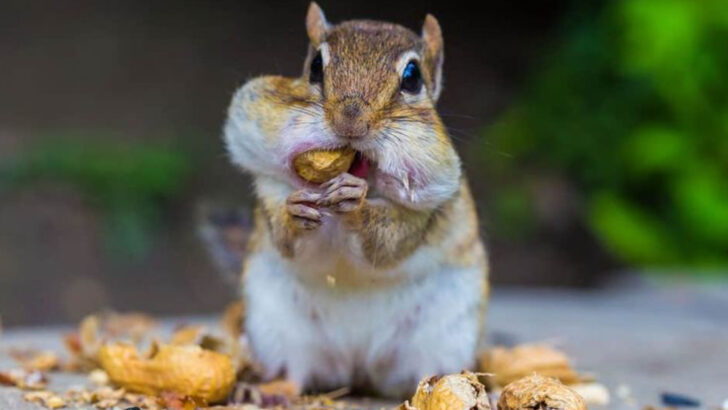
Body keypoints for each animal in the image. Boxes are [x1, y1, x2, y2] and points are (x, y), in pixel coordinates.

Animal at [220, 2, 489, 398]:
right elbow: (285, 238)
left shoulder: (429, 209)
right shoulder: (269, 188)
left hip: (446, 331)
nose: (350, 122)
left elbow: (389, 243)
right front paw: (294, 212)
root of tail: (359, 369)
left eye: (412, 77)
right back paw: (277, 391)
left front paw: (357, 208)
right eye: (315, 66)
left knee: (427, 371)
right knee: (297, 369)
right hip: (278, 327)